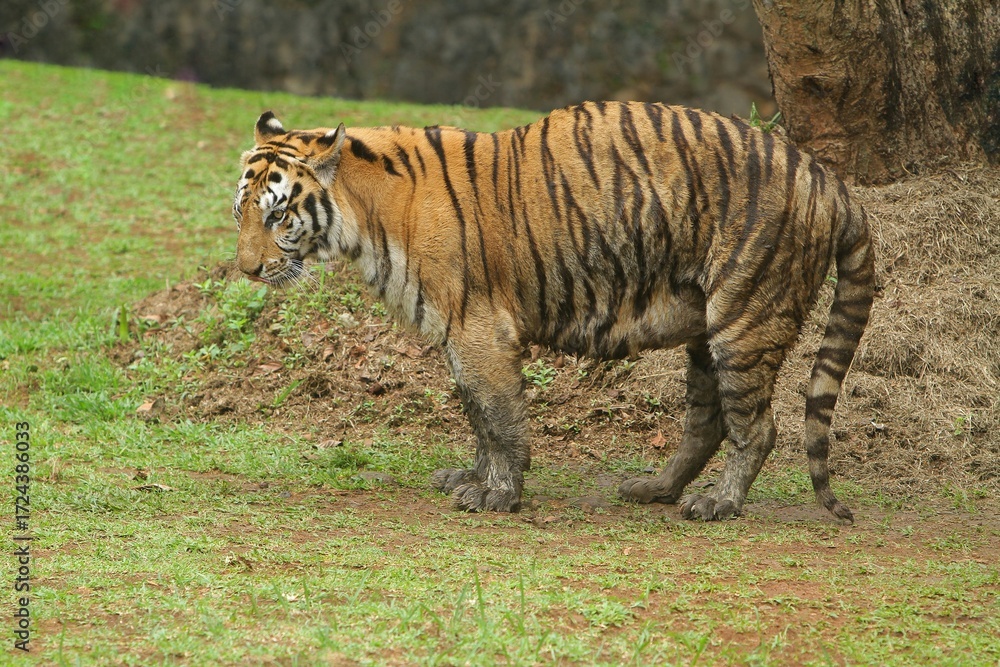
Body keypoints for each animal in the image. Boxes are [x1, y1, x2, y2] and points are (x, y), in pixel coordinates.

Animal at [231, 101, 874, 522]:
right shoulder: (456, 332)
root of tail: (824, 177)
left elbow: (499, 416)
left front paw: (498, 494)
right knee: (706, 420)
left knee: (756, 426)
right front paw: (472, 477)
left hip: (746, 317)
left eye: (278, 215)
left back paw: (717, 502)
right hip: (705, 328)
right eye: (241, 212)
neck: (365, 219)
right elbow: (478, 415)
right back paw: (655, 489)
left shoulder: (478, 328)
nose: (247, 269)